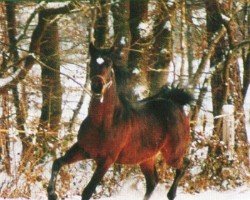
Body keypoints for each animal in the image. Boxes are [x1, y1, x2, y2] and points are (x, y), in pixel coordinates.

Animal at [47, 43, 193, 200]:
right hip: (146, 158)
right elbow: (57, 163)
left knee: (184, 164)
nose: (97, 86)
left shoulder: (106, 160)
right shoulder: (82, 149)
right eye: (91, 63)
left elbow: (87, 191)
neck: (103, 124)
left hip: (172, 153)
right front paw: (52, 194)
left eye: (108, 63)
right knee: (152, 182)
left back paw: (171, 194)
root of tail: (176, 103)